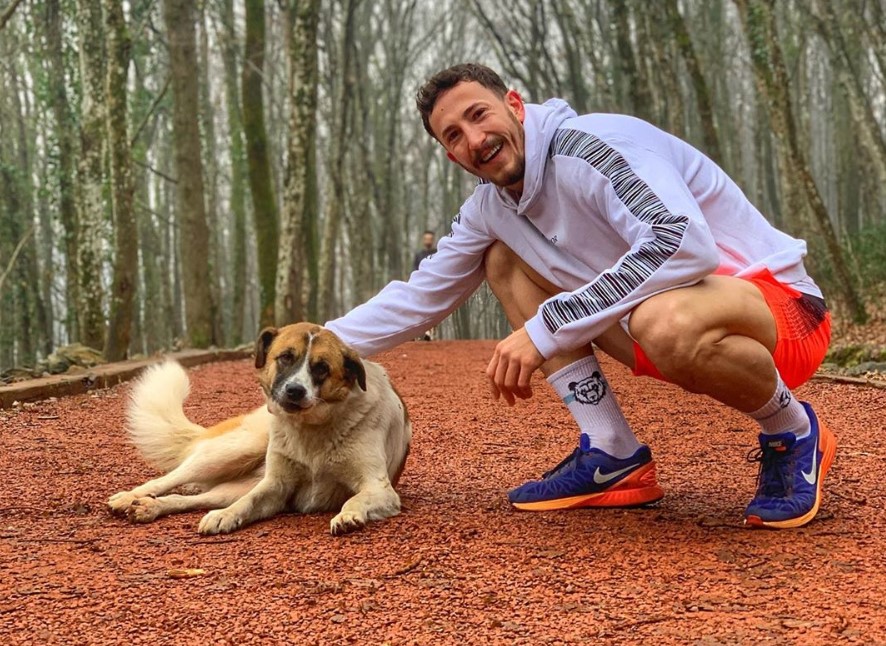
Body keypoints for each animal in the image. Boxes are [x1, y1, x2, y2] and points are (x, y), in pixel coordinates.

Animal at [108, 322, 411, 536]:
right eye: (285, 357)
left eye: (322, 368)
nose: (295, 391)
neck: (311, 430)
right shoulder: (275, 486)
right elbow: (248, 502)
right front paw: (226, 516)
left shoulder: (379, 488)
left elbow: (354, 500)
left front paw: (348, 516)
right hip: (232, 451)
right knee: (169, 479)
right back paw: (130, 497)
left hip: (230, 484)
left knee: (194, 498)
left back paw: (150, 507)